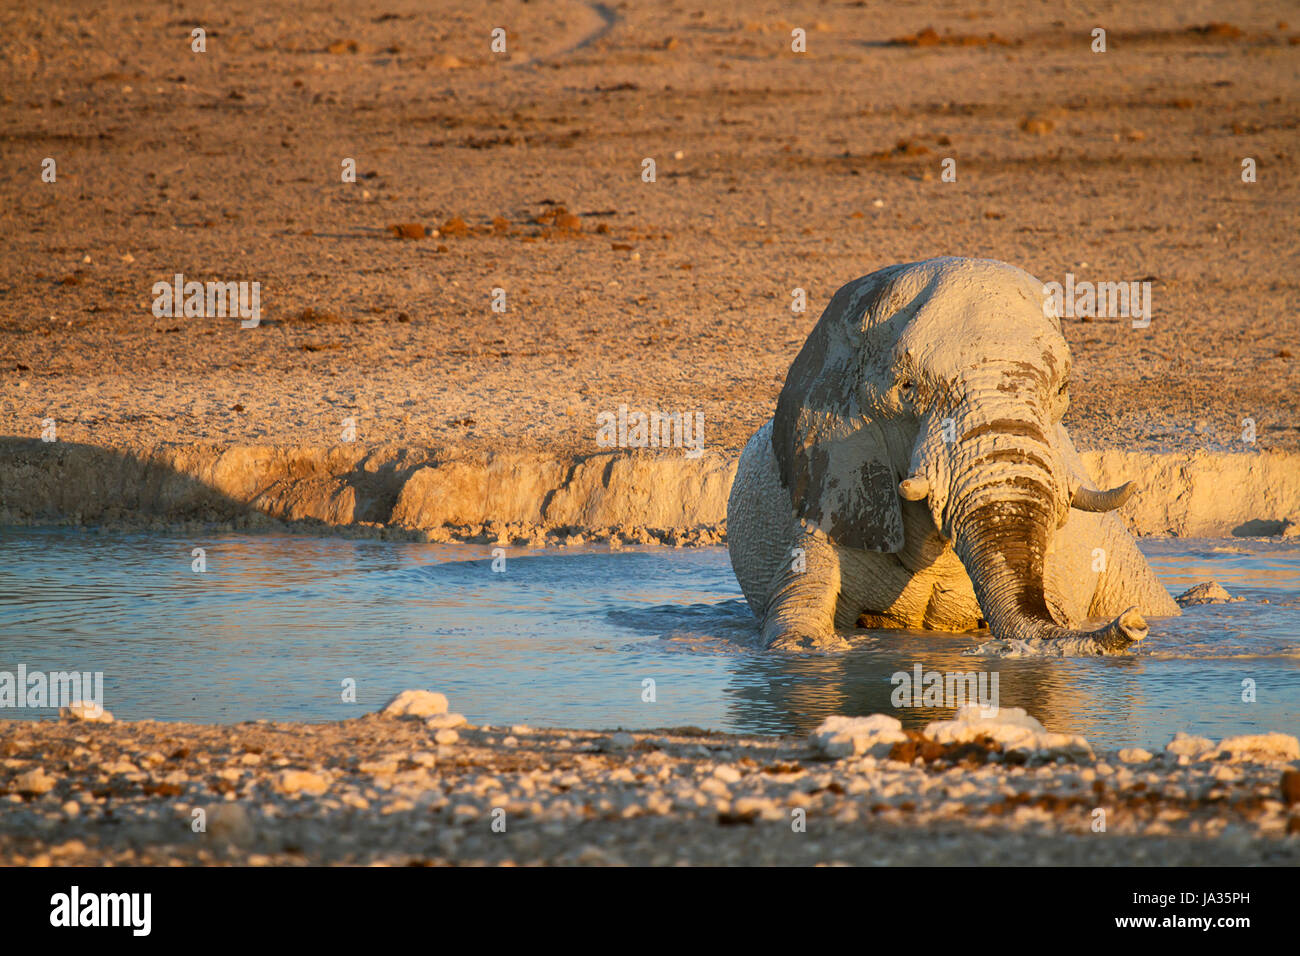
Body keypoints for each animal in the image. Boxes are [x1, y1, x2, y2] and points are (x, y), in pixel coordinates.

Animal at [728, 257, 1185, 655]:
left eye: (1062, 389)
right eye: (907, 388)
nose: (1133, 623)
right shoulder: (831, 489)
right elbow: (795, 618)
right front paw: (823, 647)